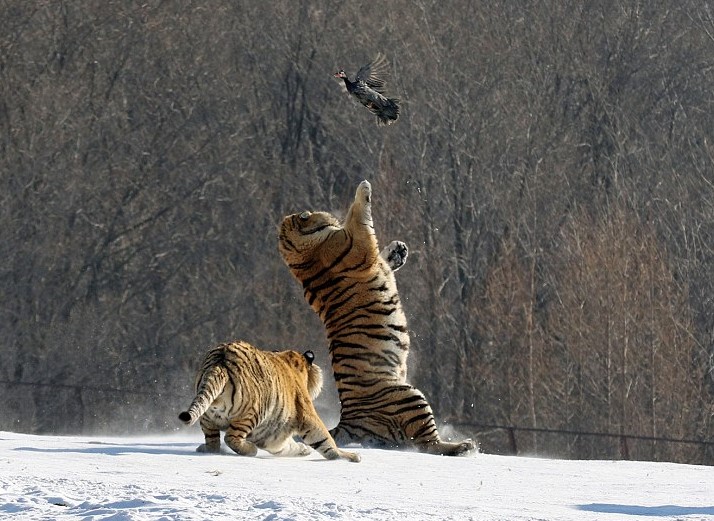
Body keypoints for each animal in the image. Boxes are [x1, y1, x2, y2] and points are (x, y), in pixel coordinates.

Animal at [178, 340, 360, 462]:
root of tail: (220, 359)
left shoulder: (271, 435)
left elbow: (285, 447)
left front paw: (303, 449)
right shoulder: (307, 414)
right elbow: (326, 440)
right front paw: (349, 456)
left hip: (207, 417)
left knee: (213, 442)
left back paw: (204, 449)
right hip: (252, 412)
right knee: (231, 438)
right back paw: (250, 450)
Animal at [278, 180, 476, 456]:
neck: (304, 254)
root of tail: (347, 420)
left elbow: (381, 254)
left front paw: (398, 250)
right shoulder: (356, 241)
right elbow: (359, 216)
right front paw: (364, 189)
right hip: (409, 396)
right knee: (428, 444)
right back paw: (464, 446)